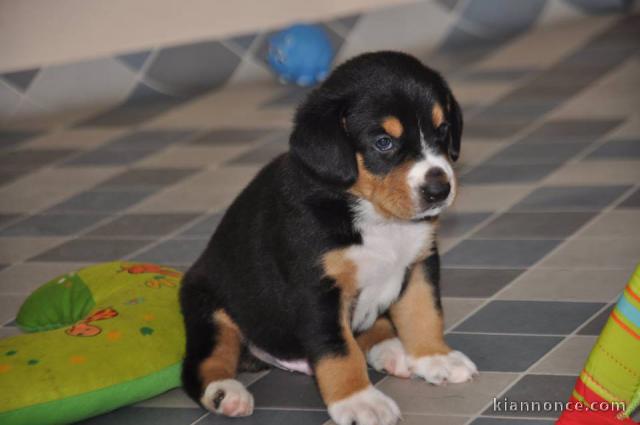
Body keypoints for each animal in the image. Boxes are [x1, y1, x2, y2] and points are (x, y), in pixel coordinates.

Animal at [180, 52, 476, 424]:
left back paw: (390, 349)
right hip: (209, 309)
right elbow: (339, 351)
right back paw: (226, 394)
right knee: (202, 363)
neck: (376, 217)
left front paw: (435, 357)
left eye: (442, 130)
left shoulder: (420, 262)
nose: (439, 189)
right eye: (383, 142)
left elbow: (424, 314)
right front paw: (360, 401)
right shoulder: (317, 290)